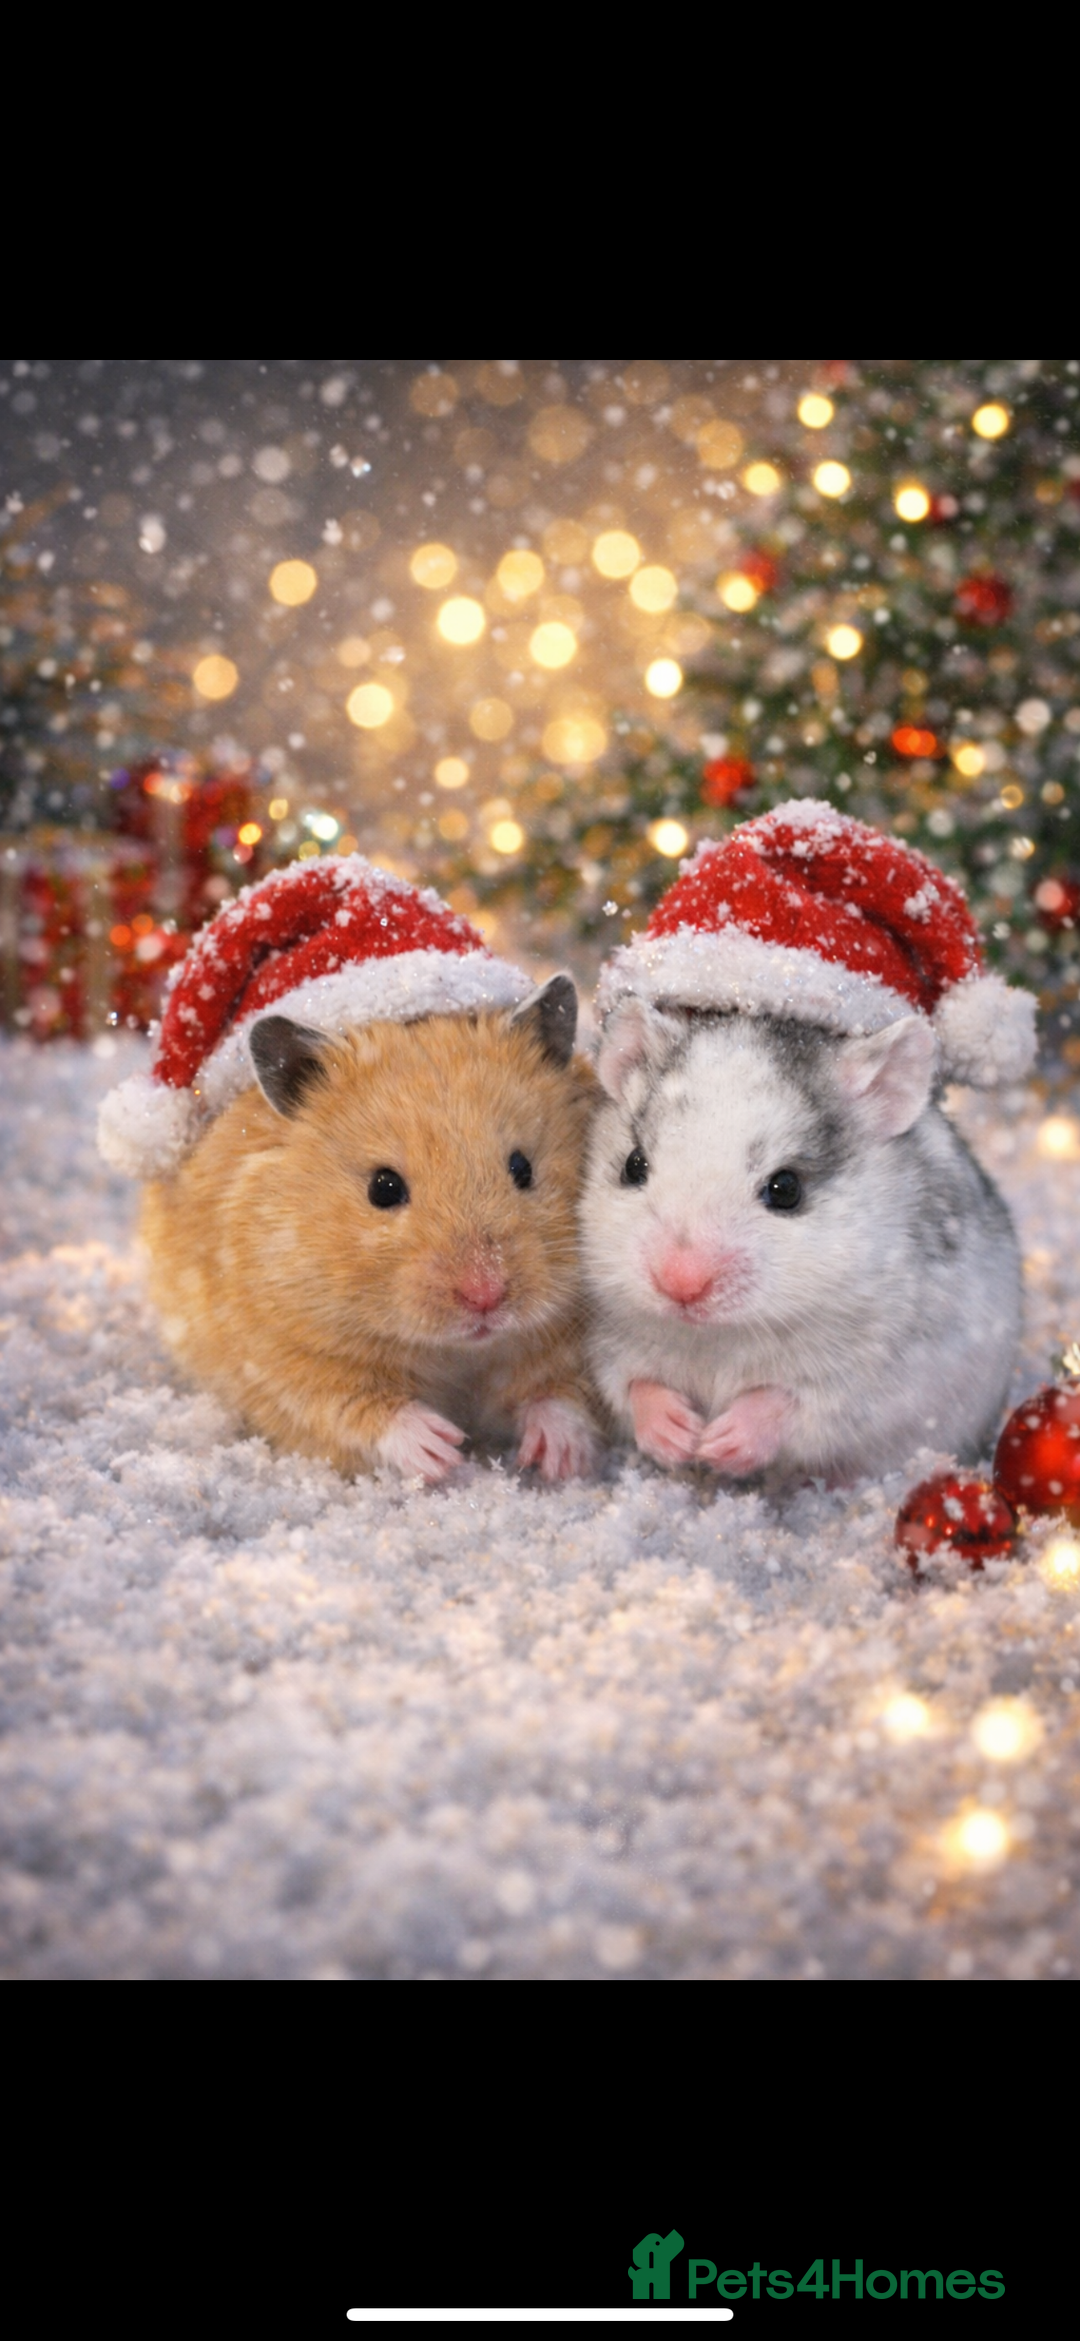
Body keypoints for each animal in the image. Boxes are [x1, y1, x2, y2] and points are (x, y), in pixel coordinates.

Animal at [140, 977, 603, 1483]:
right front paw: (443, 1450)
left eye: (522, 1168)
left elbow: (559, 1392)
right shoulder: (281, 1357)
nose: (486, 1297)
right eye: (383, 1187)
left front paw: (558, 1460)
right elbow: (355, 1408)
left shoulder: (576, 1336)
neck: (457, 1351)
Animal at [580, 997, 1021, 1485]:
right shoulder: (605, 1350)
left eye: (786, 1189)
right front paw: (681, 1438)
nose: (681, 1285)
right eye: (633, 1165)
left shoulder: (864, 1381)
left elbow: (786, 1402)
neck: (716, 1336)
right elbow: (636, 1386)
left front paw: (717, 1444)